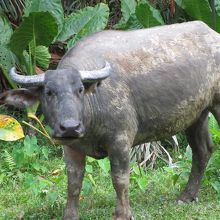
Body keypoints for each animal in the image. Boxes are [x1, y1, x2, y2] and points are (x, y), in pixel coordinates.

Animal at [1, 20, 220, 218]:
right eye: (48, 92)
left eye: (80, 90)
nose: (70, 127)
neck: (90, 118)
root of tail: (212, 35)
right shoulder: (70, 146)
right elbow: (73, 182)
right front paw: (70, 215)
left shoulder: (120, 142)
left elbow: (119, 179)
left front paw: (123, 214)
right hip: (196, 115)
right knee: (203, 150)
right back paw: (187, 196)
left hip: (216, 105)